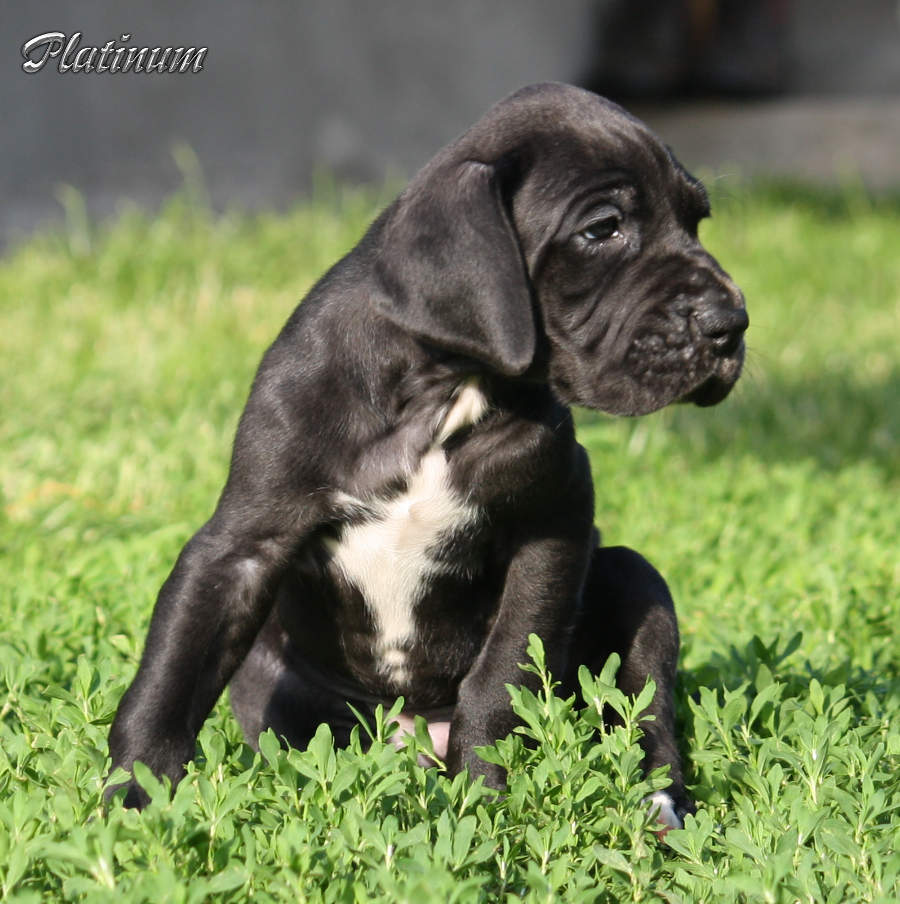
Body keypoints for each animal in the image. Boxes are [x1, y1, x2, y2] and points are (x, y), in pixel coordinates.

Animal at [108, 83, 747, 826]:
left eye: (696, 222)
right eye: (603, 229)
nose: (731, 324)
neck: (443, 385)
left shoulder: (553, 525)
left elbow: (500, 677)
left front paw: (482, 793)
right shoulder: (240, 548)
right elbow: (170, 674)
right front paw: (132, 799)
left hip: (634, 575)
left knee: (647, 713)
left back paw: (658, 805)